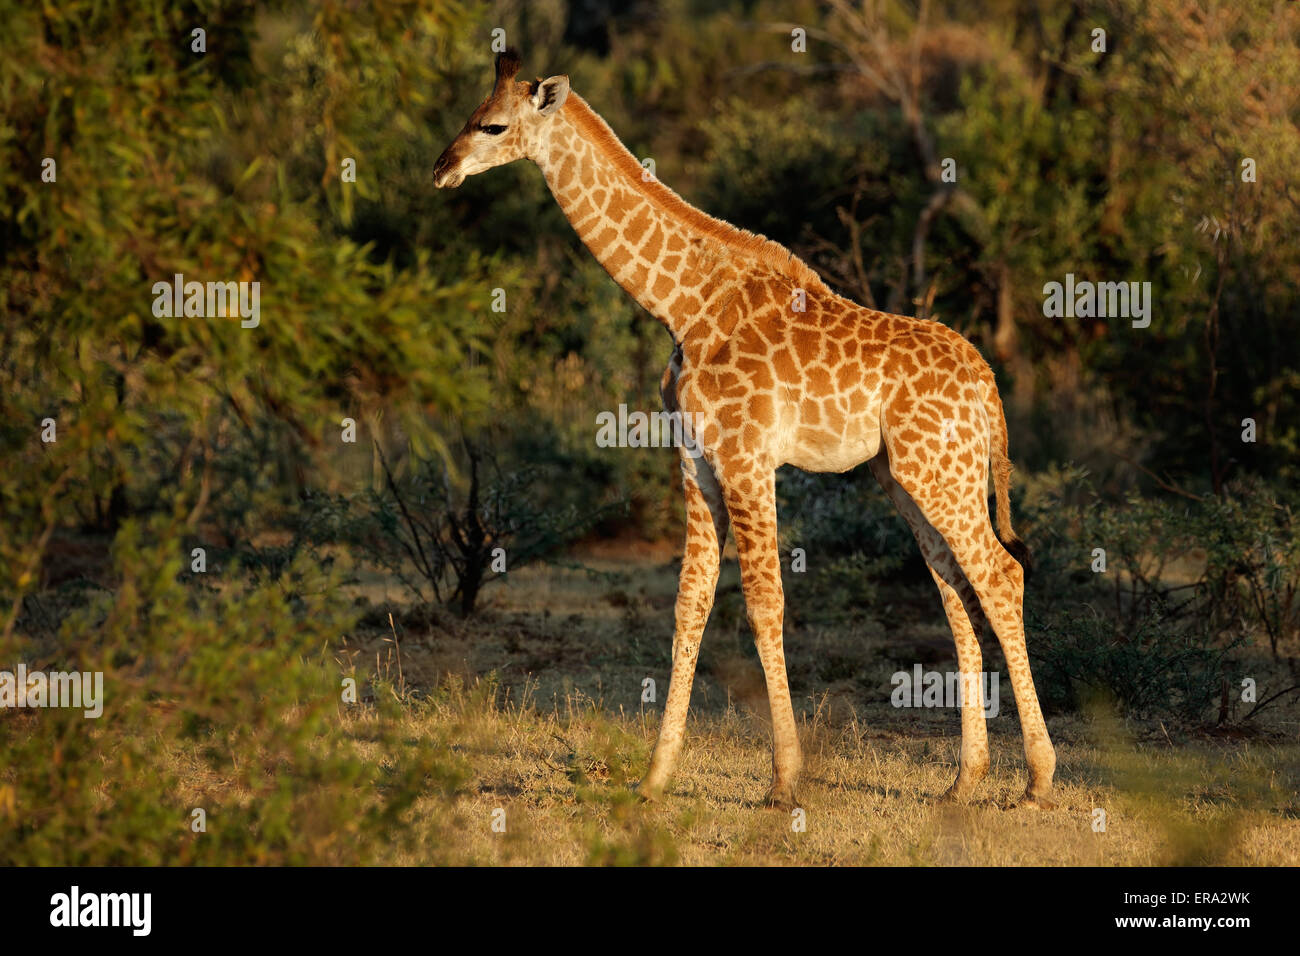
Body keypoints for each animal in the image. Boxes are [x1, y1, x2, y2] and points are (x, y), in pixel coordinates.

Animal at [434, 52, 1055, 811]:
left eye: (492, 124)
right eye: (469, 113)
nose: (442, 167)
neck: (682, 302)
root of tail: (989, 386)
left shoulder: (746, 453)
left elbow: (763, 600)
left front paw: (784, 780)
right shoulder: (695, 457)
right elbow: (690, 602)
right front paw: (655, 776)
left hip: (942, 473)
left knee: (1000, 574)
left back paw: (1038, 778)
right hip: (912, 477)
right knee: (955, 589)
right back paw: (964, 780)